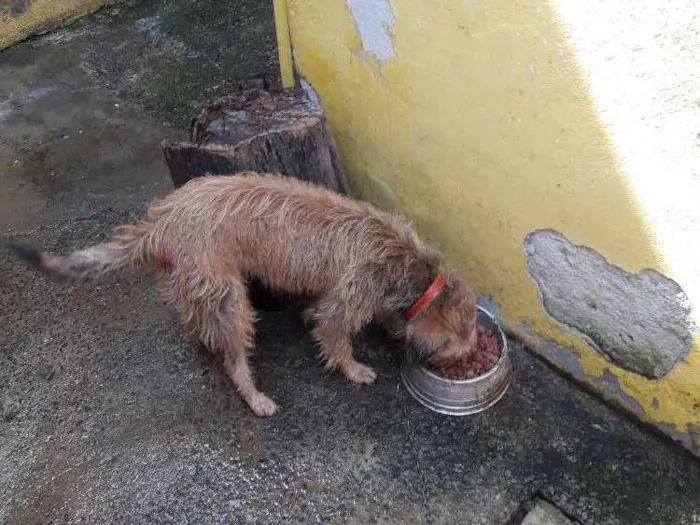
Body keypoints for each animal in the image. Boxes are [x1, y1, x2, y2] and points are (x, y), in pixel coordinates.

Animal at [9, 172, 476, 414]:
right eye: (461, 348)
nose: (463, 362)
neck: (408, 266)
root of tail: (160, 221)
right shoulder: (345, 299)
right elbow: (334, 335)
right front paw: (353, 368)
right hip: (228, 295)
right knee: (233, 355)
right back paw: (253, 394)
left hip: (195, 283)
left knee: (195, 319)